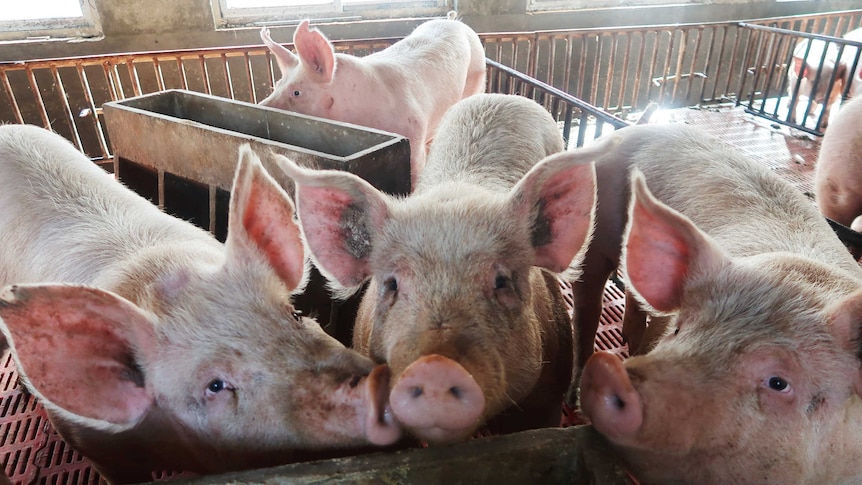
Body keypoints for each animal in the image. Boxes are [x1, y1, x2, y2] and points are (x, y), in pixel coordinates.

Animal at [260, 13, 490, 187]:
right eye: (277, 84)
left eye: (297, 93)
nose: (260, 106)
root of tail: (454, 20)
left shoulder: (414, 133)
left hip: (477, 78)